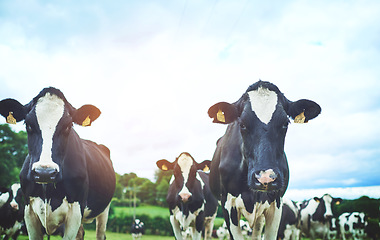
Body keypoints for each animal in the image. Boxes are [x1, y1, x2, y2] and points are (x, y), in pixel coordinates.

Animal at [0, 88, 116, 240]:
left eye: (68, 126)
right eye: (28, 125)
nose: (44, 173)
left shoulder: (76, 210)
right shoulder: (28, 210)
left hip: (104, 210)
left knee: (100, 234)